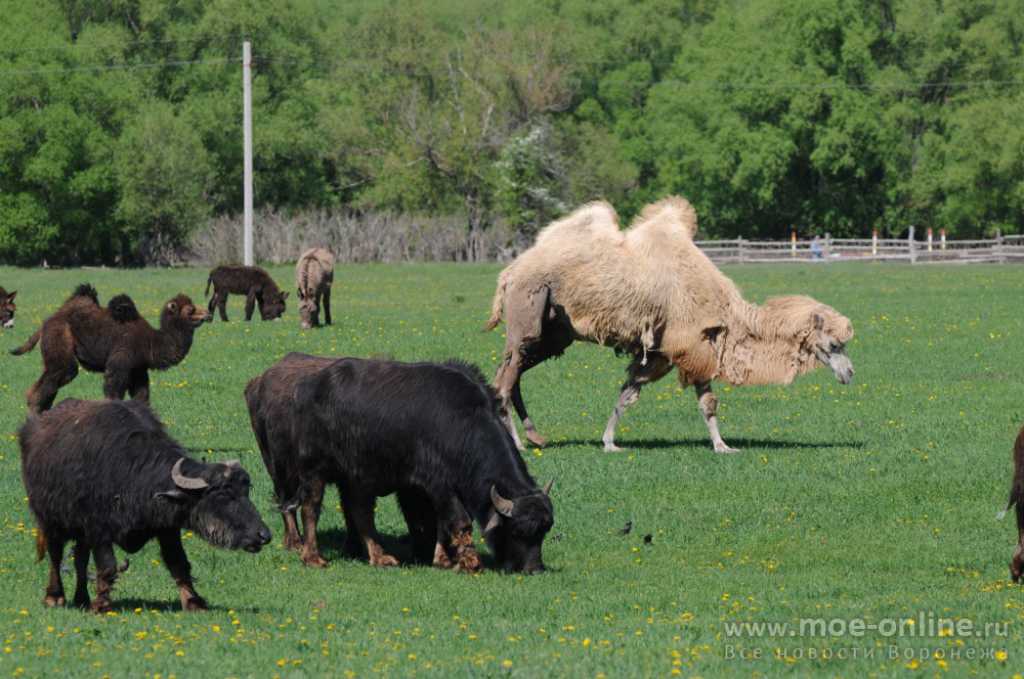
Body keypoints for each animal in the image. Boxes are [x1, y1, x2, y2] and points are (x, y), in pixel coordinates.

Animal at [9, 282, 209, 411]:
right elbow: (113, 393)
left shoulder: (138, 369)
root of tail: (47, 322)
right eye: (190, 310)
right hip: (60, 344)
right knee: (56, 378)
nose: (208, 313)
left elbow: (142, 397)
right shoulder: (121, 360)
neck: (150, 342)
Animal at [20, 401, 272, 614]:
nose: (264, 535)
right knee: (55, 555)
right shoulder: (98, 530)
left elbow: (179, 563)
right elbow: (108, 566)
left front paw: (194, 602)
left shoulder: (167, 529)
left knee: (80, 558)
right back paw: (55, 597)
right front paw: (101, 605)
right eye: (223, 495)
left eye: (245, 491)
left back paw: (82, 598)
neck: (132, 476)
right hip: (49, 520)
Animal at [244, 356, 557, 573]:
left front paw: (443, 558)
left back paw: (379, 556)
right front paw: (468, 561)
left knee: (360, 512)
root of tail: (307, 386)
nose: (534, 569)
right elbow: (458, 521)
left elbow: (439, 522)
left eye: (544, 532)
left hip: (355, 476)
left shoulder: (427, 488)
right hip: (311, 472)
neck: (461, 423)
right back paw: (312, 556)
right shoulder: (439, 485)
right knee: (310, 508)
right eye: (517, 531)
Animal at [483, 195, 851, 450]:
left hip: (555, 332)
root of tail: (508, 274)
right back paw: (518, 444)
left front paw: (609, 442)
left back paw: (534, 437)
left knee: (512, 374)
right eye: (834, 344)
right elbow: (703, 400)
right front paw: (722, 446)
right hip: (528, 313)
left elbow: (630, 393)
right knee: (505, 380)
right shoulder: (690, 346)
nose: (849, 373)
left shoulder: (671, 351)